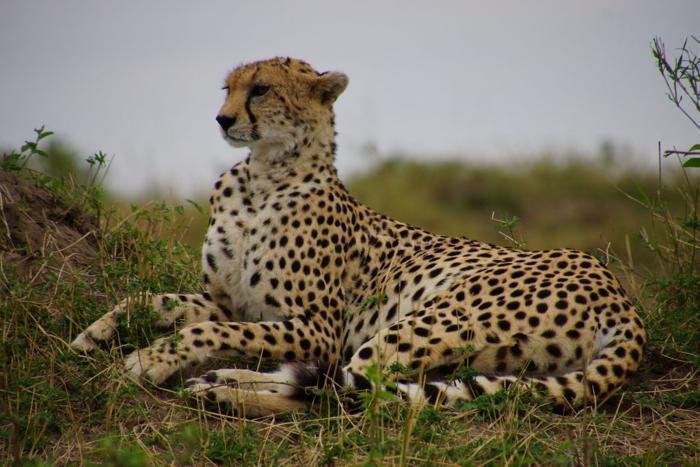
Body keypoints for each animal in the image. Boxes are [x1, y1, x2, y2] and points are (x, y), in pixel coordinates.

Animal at [71, 57, 646, 417]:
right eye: (227, 88)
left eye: (260, 89)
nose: (222, 118)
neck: (263, 176)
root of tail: (621, 297)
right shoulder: (227, 302)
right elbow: (149, 299)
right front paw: (92, 335)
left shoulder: (317, 328)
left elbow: (205, 333)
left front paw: (147, 361)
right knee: (352, 384)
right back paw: (221, 383)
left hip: (438, 315)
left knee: (349, 391)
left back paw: (228, 391)